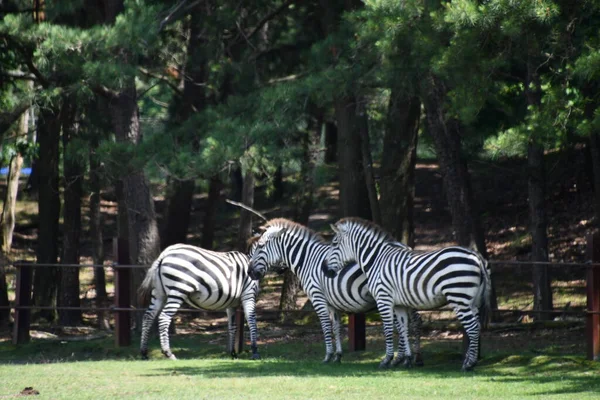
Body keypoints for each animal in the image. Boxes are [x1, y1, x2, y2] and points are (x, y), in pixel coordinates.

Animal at [246, 217, 424, 364]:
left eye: (260, 248)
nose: (249, 273)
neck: (307, 260)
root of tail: (405, 246)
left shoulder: (317, 297)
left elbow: (325, 326)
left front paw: (328, 356)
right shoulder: (332, 303)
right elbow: (336, 328)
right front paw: (338, 356)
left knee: (412, 322)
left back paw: (413, 358)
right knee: (407, 322)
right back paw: (405, 358)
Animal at [322, 217, 490, 370]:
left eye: (334, 243)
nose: (324, 269)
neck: (376, 260)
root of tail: (476, 256)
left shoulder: (383, 299)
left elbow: (388, 329)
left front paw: (386, 360)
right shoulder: (399, 304)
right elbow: (403, 329)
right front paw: (407, 359)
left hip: (459, 298)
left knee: (473, 328)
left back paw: (469, 364)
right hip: (473, 301)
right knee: (477, 326)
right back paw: (470, 360)